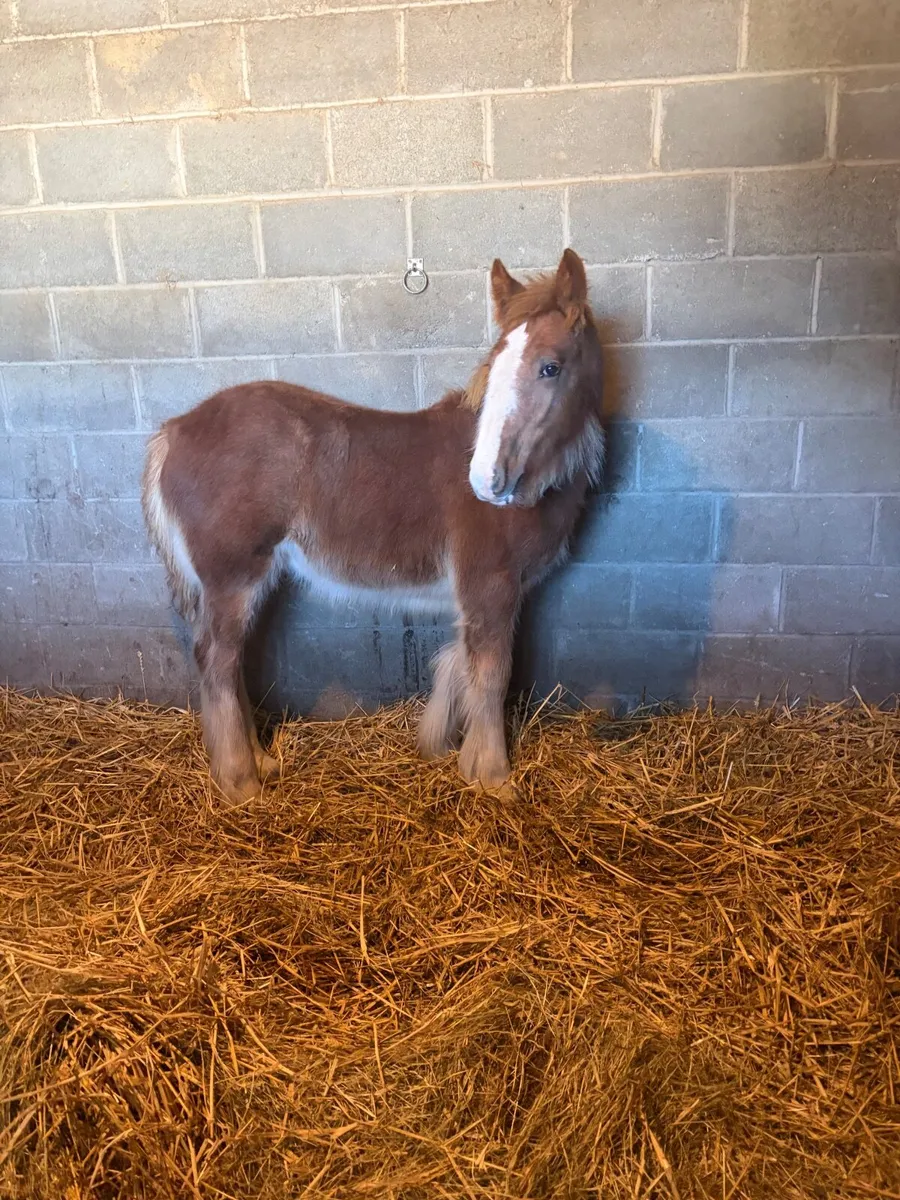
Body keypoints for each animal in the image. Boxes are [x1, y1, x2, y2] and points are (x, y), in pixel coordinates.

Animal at [141, 248, 605, 804]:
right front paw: (494, 778)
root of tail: (174, 431)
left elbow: (461, 665)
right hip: (233, 577)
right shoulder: (490, 585)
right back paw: (241, 781)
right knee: (218, 660)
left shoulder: (482, 595)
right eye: (493, 367)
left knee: (228, 664)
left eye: (550, 366)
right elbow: (493, 674)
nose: (484, 479)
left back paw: (261, 762)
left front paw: (452, 752)